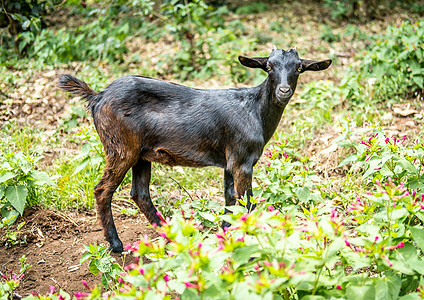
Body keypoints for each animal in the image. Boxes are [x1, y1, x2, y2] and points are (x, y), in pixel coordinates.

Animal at [58, 48, 332, 252]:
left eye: (298, 67)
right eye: (269, 67)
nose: (283, 91)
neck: (255, 110)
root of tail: (97, 97)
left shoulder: (230, 161)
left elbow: (230, 200)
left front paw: (226, 237)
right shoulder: (242, 160)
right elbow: (247, 204)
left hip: (141, 154)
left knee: (140, 193)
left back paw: (170, 236)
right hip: (121, 148)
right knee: (103, 190)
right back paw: (116, 244)